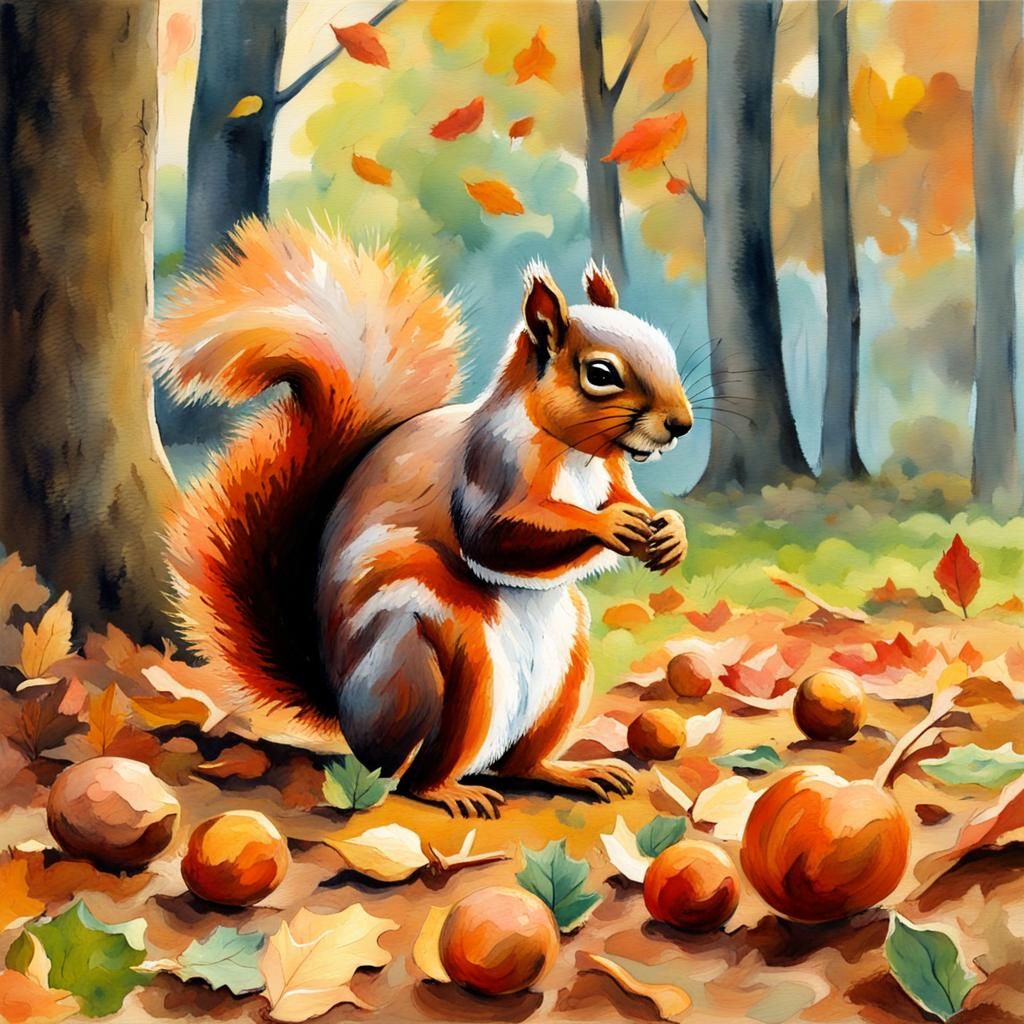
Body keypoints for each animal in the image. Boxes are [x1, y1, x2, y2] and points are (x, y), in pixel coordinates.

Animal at [155, 217, 692, 818]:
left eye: (664, 347)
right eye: (600, 373)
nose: (681, 424)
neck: (576, 452)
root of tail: (347, 717)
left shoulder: (613, 477)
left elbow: (630, 505)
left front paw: (669, 533)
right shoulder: (489, 466)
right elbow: (494, 537)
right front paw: (610, 527)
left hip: (566, 665)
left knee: (518, 765)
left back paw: (568, 772)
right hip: (429, 663)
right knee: (413, 775)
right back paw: (449, 791)